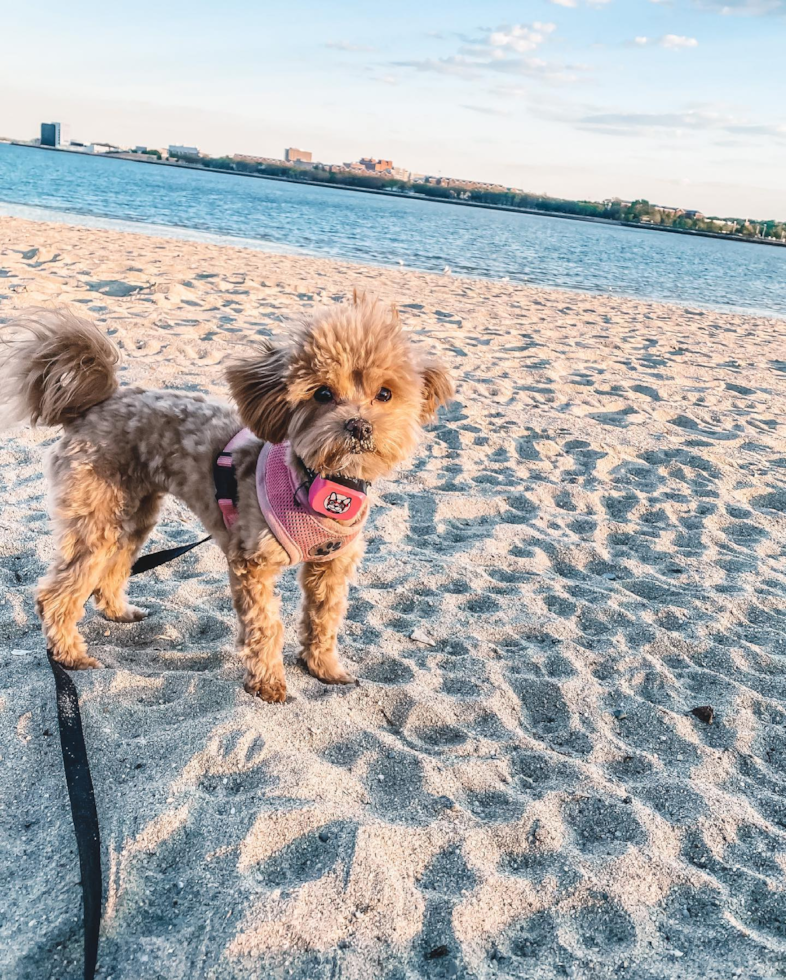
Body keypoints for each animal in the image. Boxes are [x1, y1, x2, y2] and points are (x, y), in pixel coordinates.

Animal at [0, 294, 450, 700]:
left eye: (385, 394)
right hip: (97, 515)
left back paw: (119, 612)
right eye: (322, 393)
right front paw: (269, 684)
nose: (359, 426)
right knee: (57, 593)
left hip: (132, 513)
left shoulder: (332, 566)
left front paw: (324, 668)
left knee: (110, 570)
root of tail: (96, 405)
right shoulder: (252, 562)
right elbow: (267, 626)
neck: (317, 484)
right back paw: (70, 655)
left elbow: (324, 619)